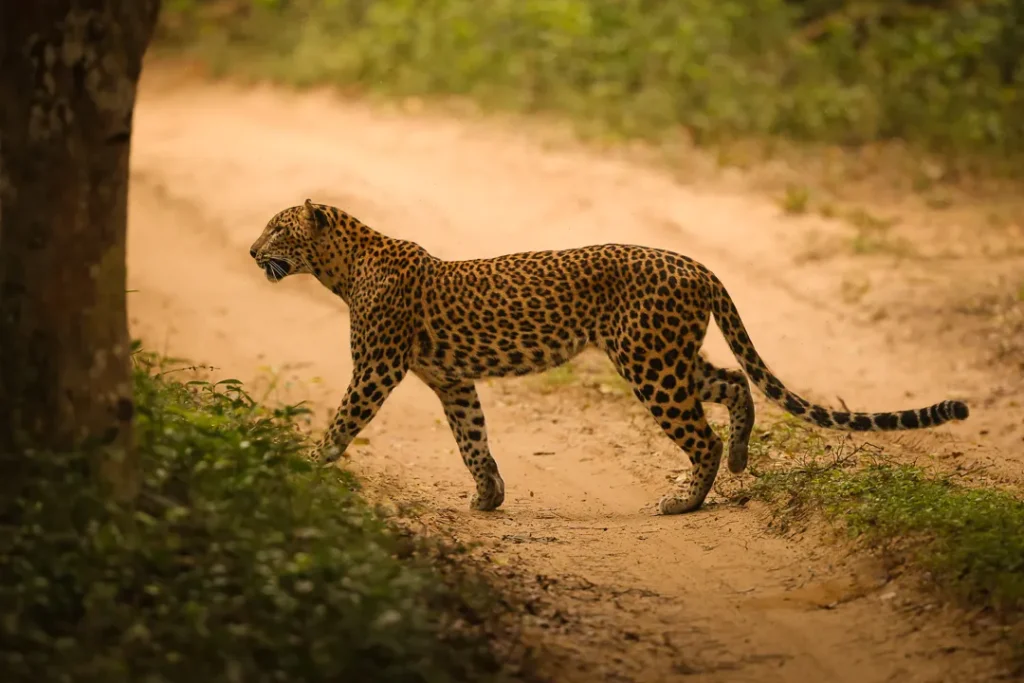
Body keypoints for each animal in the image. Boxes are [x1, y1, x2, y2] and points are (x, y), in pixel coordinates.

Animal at [249, 199, 970, 515]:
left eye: (278, 228)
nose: (253, 253)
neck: (342, 268)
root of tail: (698, 265)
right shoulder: (451, 379)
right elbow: (472, 438)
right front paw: (489, 495)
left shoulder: (375, 369)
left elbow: (341, 422)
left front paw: (301, 467)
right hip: (668, 354)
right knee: (734, 383)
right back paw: (740, 459)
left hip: (650, 364)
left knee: (701, 433)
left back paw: (685, 500)